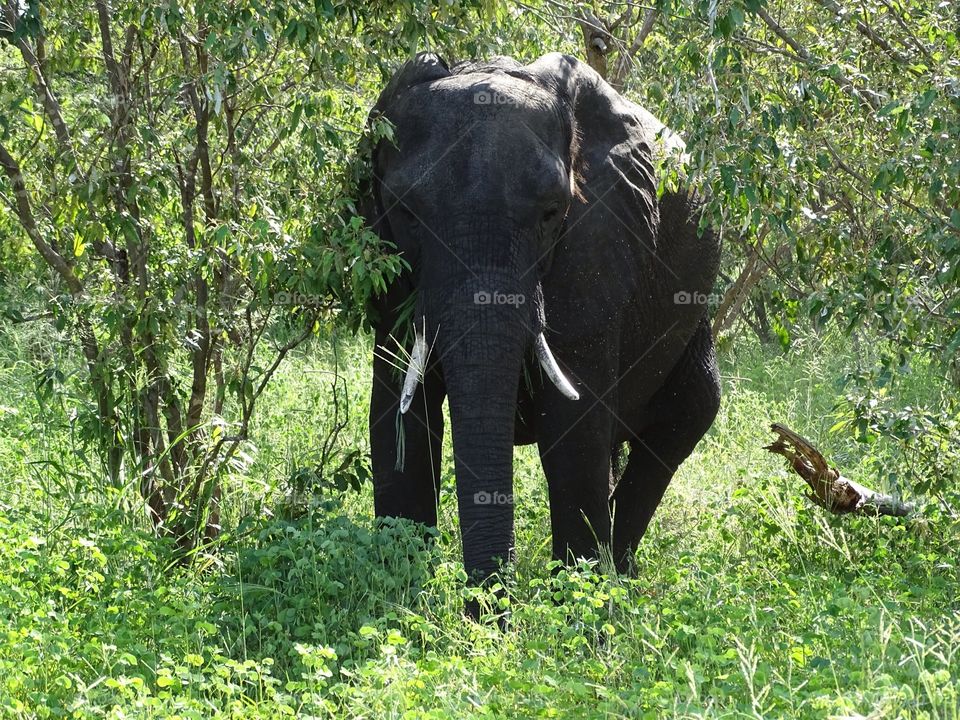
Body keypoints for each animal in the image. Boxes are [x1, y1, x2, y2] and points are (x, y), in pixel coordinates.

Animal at [358, 52, 721, 591]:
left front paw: (580, 601)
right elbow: (400, 416)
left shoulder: (600, 246)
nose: (485, 608)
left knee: (686, 418)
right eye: (407, 215)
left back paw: (621, 575)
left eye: (552, 214)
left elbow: (574, 431)